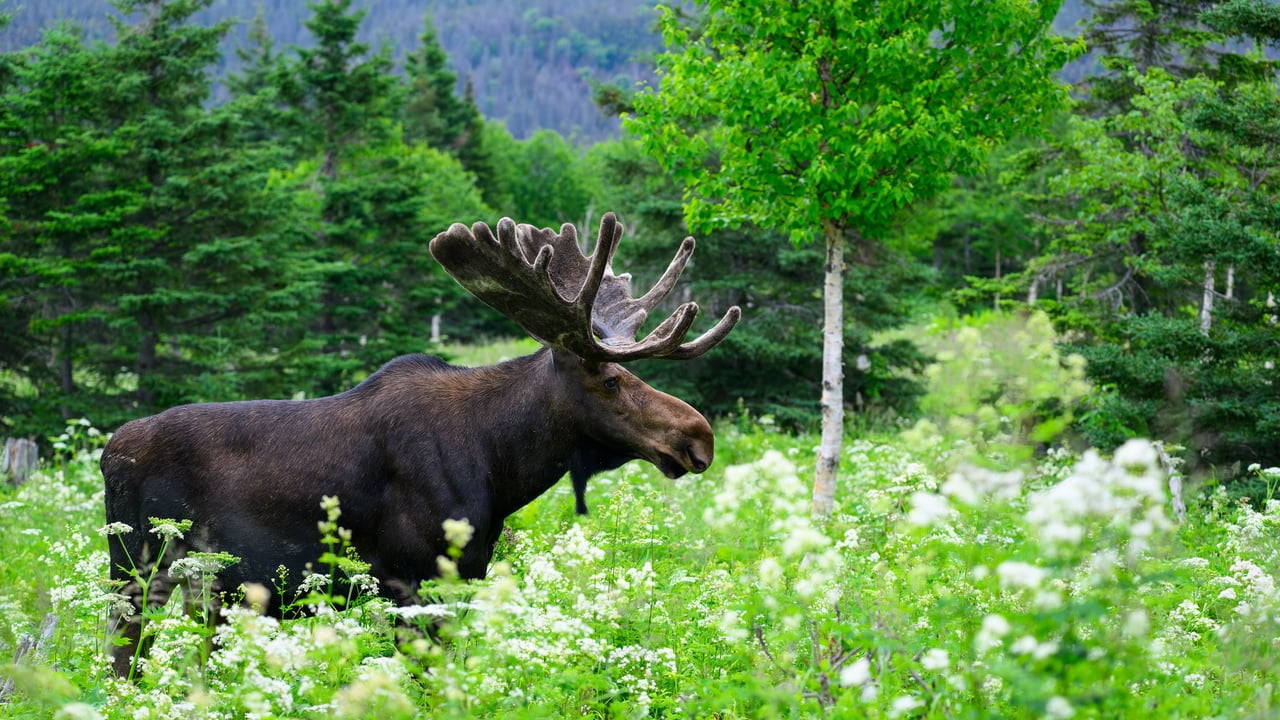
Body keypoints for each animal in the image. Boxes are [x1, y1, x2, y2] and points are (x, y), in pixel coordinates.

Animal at [100, 212, 740, 678]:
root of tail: (109, 453)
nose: (698, 436)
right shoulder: (410, 581)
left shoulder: (464, 577)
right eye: (610, 380)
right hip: (139, 572)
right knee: (123, 659)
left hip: (207, 589)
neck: (499, 466)